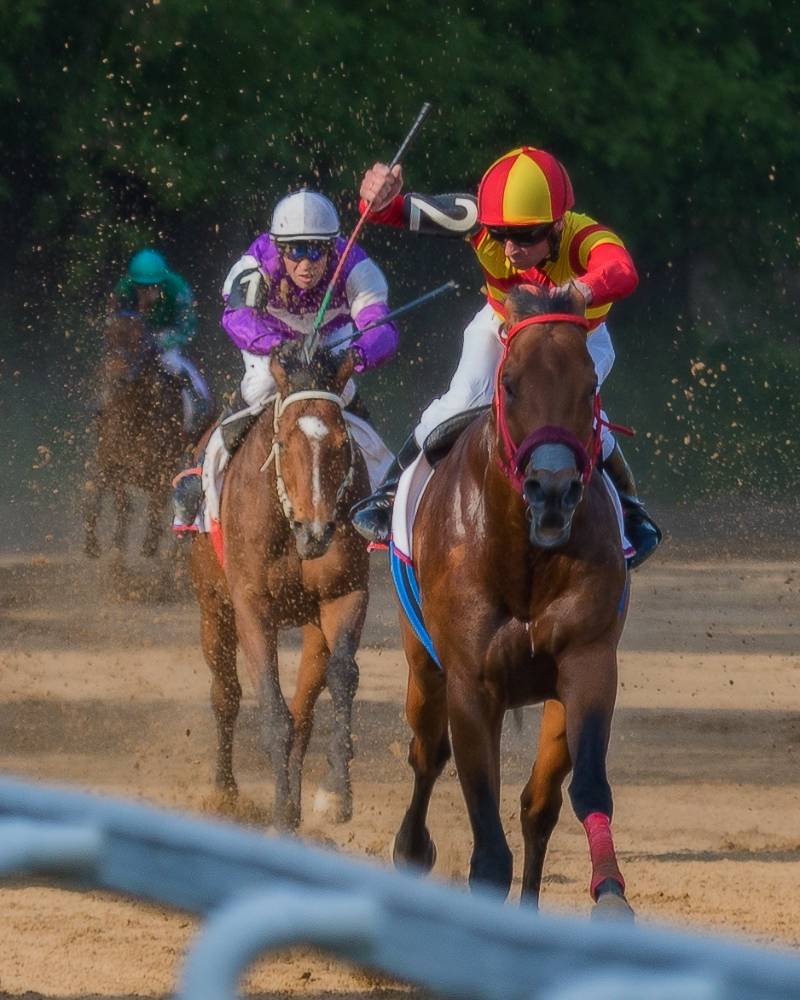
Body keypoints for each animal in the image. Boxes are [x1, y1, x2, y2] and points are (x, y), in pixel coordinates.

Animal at [84, 311, 185, 559]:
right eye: (108, 340)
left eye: (140, 341)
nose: (118, 375)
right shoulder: (110, 463)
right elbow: (115, 501)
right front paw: (104, 545)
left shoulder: (162, 467)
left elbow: (156, 504)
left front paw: (150, 544)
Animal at [189, 340, 370, 830]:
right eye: (284, 443)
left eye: (342, 443)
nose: (316, 531)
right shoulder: (251, 607)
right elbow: (271, 709)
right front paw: (278, 814)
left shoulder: (345, 595)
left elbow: (342, 677)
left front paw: (335, 794)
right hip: (212, 605)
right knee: (225, 695)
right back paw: (224, 791)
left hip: (311, 623)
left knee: (305, 709)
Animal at [391, 284, 634, 919]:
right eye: (510, 383)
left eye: (590, 386)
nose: (552, 490)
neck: (524, 557)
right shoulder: (471, 683)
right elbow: (486, 844)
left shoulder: (588, 662)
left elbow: (583, 788)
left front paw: (610, 892)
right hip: (422, 664)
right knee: (427, 754)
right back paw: (411, 848)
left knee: (537, 804)